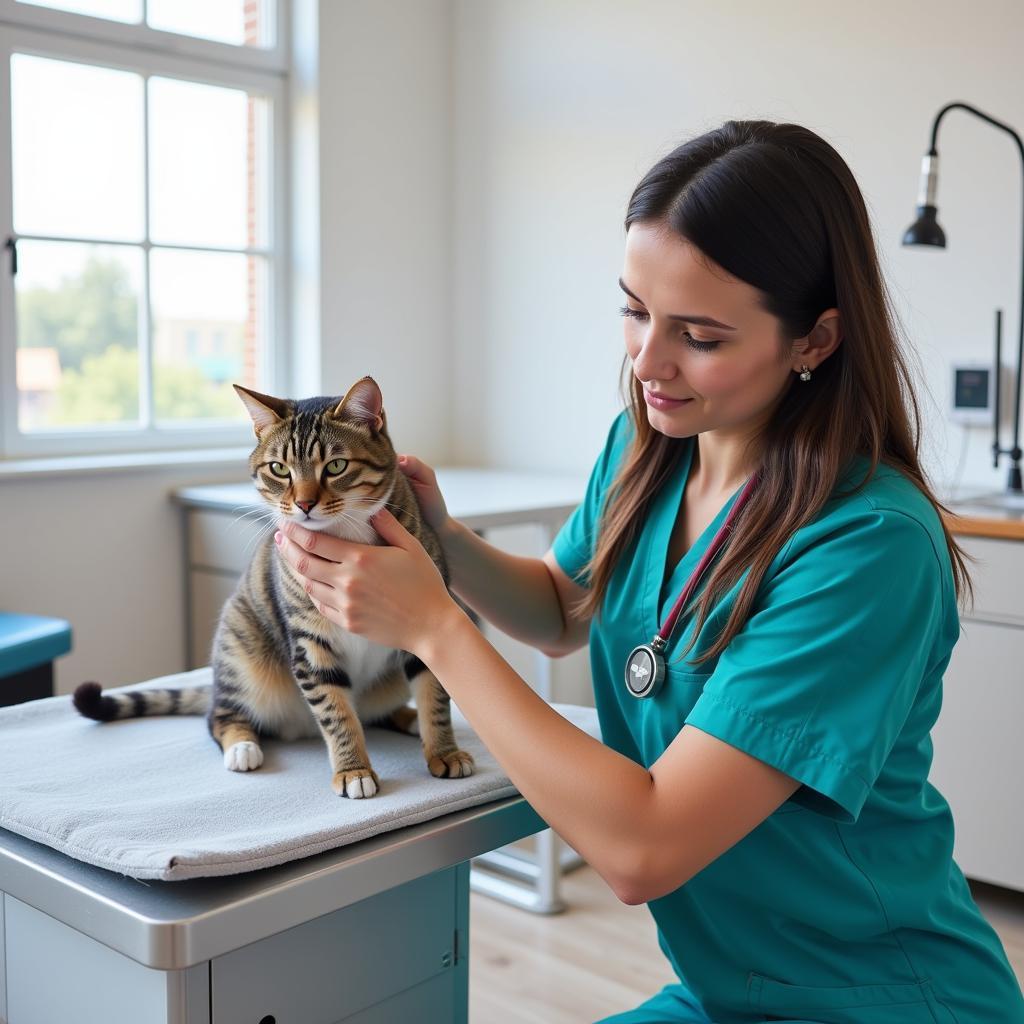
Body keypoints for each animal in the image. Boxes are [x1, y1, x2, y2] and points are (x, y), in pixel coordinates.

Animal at [74, 376, 475, 798]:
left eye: (336, 465)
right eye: (279, 469)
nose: (304, 504)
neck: (347, 537)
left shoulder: (425, 624)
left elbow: (435, 697)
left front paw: (444, 751)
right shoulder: (310, 643)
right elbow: (337, 714)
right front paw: (354, 770)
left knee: (375, 711)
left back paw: (407, 718)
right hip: (241, 653)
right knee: (220, 715)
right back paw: (242, 747)